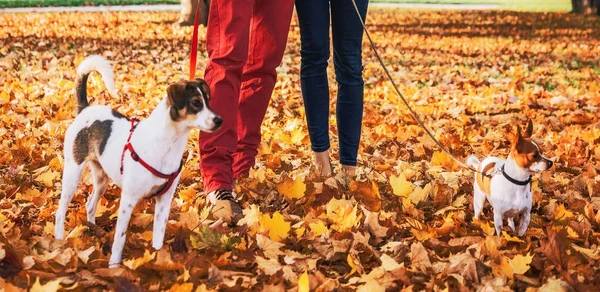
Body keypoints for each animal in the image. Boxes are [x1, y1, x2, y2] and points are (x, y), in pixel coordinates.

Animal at [54, 54, 220, 266]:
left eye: (208, 101)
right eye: (196, 102)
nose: (219, 120)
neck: (167, 145)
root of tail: (85, 110)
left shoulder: (164, 201)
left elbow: (158, 236)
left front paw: (158, 258)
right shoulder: (128, 200)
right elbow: (119, 239)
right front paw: (114, 266)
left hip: (101, 178)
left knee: (90, 205)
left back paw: (93, 230)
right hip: (72, 173)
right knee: (60, 212)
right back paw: (59, 241)